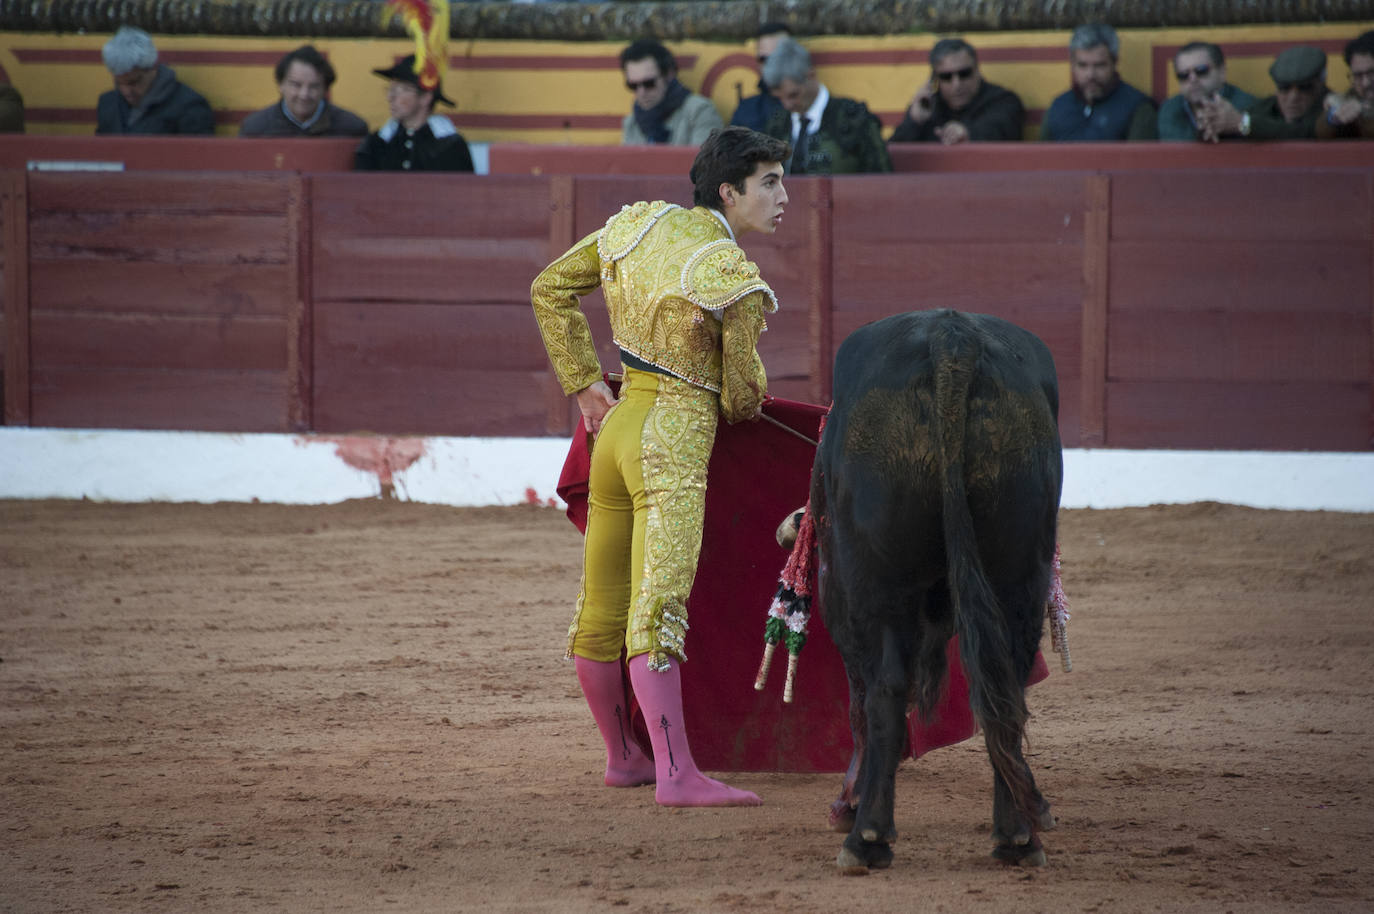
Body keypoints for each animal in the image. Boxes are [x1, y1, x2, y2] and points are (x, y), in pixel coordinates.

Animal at [813, 307, 1060, 868]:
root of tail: (953, 337)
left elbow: (865, 700)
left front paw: (850, 805)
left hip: (878, 582)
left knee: (885, 689)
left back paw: (866, 839)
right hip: (1019, 574)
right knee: (1005, 688)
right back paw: (1017, 836)